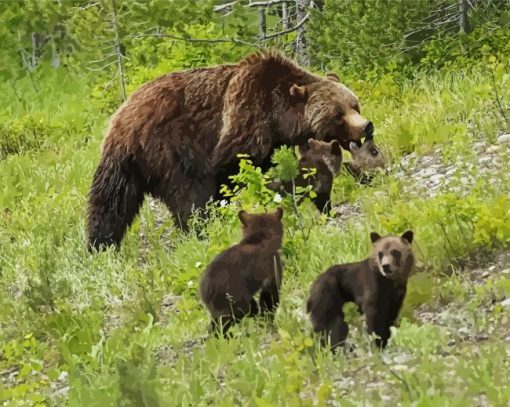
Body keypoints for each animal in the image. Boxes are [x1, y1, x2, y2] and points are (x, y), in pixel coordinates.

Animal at [86, 49, 374, 250]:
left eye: (354, 104)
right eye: (338, 114)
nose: (366, 126)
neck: (278, 116)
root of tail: (121, 119)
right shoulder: (244, 120)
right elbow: (231, 169)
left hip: (124, 166)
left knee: (111, 202)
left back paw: (100, 244)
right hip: (170, 148)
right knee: (188, 194)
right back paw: (199, 230)